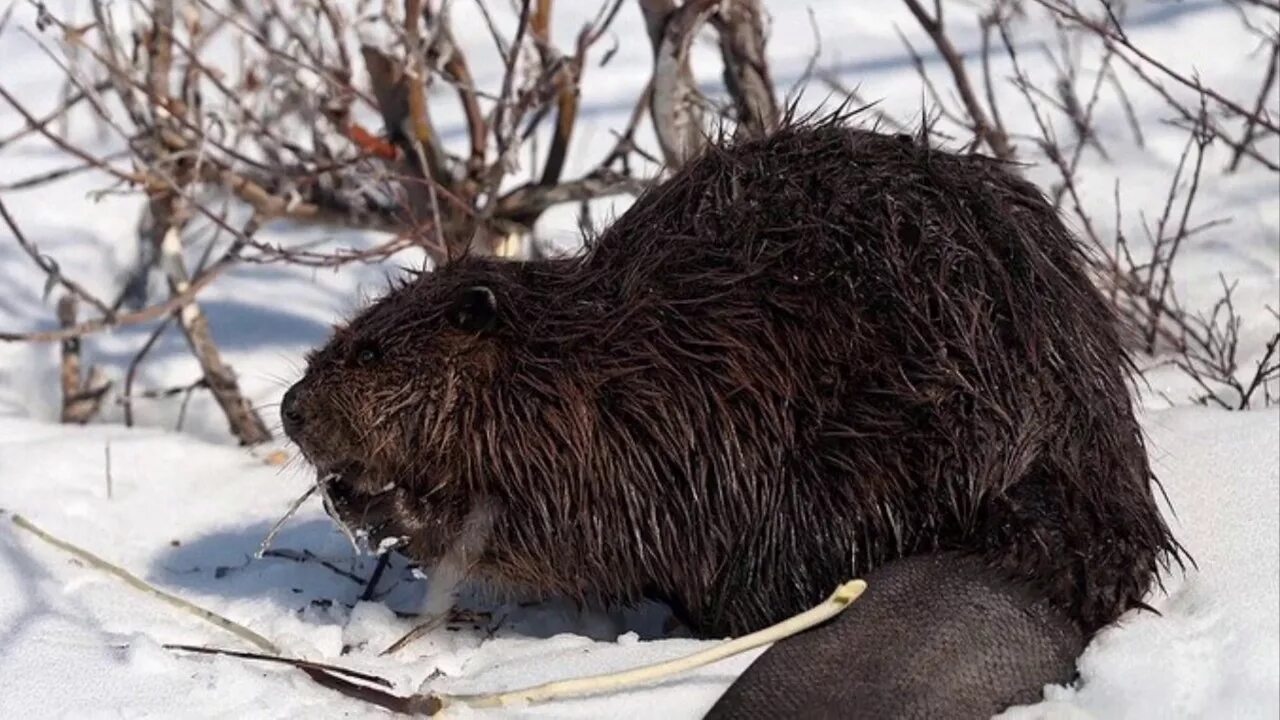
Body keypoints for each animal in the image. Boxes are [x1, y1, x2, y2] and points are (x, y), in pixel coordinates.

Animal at [285, 120, 1182, 712]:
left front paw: (381, 503)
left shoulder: (636, 429)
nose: (292, 411)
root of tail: (1022, 561)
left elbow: (559, 526)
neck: (579, 355)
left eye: (368, 352)